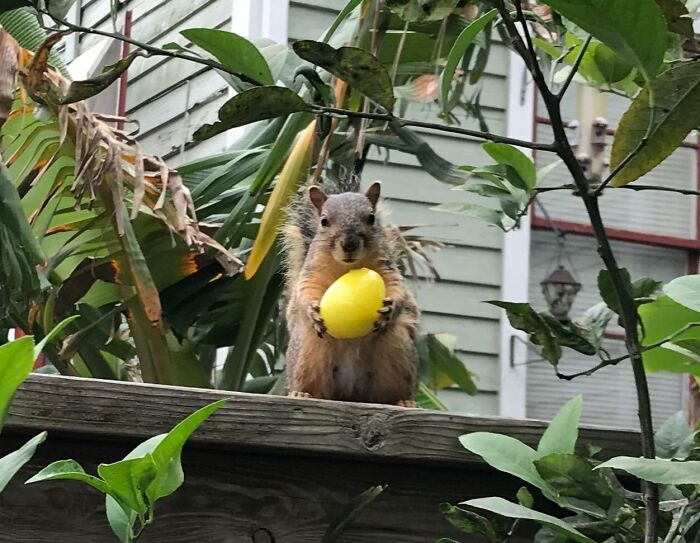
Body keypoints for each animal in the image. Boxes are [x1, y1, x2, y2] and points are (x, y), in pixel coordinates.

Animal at [280, 175, 422, 408]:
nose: (349, 244)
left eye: (371, 218)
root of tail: (350, 394)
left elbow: (397, 286)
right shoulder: (312, 271)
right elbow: (306, 290)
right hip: (309, 353)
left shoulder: (387, 268)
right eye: (324, 221)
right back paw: (301, 394)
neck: (348, 266)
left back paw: (404, 402)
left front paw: (390, 308)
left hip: (397, 348)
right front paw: (312, 311)